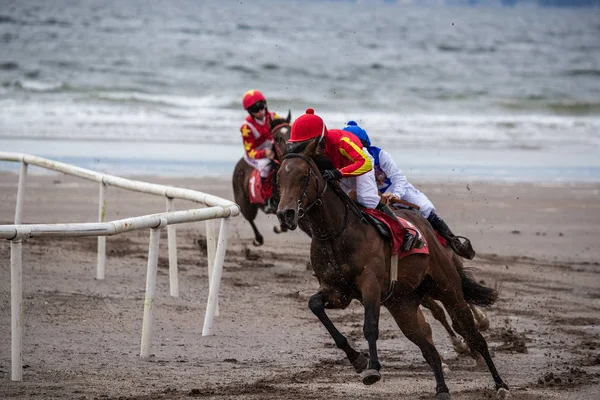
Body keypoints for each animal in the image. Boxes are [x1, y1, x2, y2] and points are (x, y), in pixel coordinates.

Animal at [274, 138, 508, 400]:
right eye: (278, 178)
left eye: (303, 176)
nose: (285, 214)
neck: (336, 233)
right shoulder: (337, 291)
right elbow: (315, 305)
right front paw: (357, 359)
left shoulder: (371, 285)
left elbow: (370, 326)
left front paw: (372, 368)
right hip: (403, 305)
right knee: (428, 347)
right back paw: (442, 389)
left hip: (448, 288)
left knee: (472, 333)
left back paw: (500, 384)